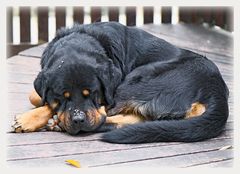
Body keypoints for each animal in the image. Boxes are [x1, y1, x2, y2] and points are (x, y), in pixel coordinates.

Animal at [12, 21, 230, 143]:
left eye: (93, 93)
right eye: (62, 96)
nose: (78, 119)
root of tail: (216, 89)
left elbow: (44, 101)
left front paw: (28, 119)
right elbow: (37, 96)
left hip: (136, 80)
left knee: (105, 117)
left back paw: (57, 123)